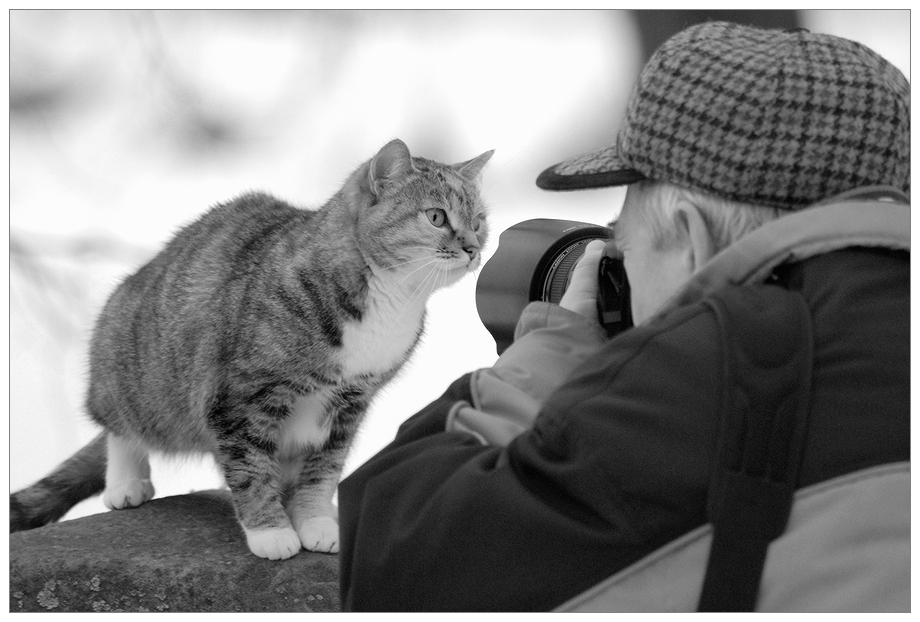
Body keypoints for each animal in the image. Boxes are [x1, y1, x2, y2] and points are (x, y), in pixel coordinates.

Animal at [10, 140, 492, 560]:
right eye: (435, 217)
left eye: (479, 220)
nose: (473, 248)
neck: (389, 301)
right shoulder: (241, 398)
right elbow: (250, 469)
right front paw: (271, 531)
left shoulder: (350, 404)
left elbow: (323, 471)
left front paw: (315, 521)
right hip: (132, 367)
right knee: (119, 426)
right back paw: (127, 482)